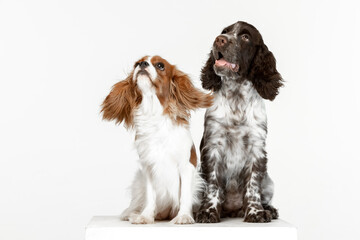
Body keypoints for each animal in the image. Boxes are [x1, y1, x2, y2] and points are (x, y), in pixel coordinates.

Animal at [100, 55, 212, 224]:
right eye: (136, 64)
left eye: (160, 65)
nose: (142, 64)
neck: (153, 110)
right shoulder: (148, 168)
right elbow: (150, 197)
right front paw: (145, 216)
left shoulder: (186, 166)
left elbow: (185, 195)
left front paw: (184, 216)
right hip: (139, 181)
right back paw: (131, 213)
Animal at [195, 20, 282, 223]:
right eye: (224, 31)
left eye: (245, 37)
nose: (219, 40)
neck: (236, 96)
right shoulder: (213, 145)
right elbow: (213, 184)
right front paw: (208, 212)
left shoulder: (257, 147)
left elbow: (253, 184)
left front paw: (256, 212)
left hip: (269, 182)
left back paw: (268, 209)